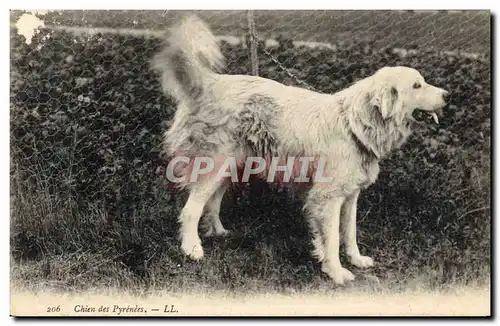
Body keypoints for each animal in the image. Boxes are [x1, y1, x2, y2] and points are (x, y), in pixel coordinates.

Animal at [152, 15, 450, 286]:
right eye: (416, 85)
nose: (447, 95)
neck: (355, 124)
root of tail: (209, 83)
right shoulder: (327, 197)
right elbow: (332, 238)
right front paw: (336, 272)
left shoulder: (350, 195)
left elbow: (349, 232)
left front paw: (355, 259)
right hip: (214, 164)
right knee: (191, 209)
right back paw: (192, 249)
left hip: (232, 165)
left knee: (211, 202)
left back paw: (218, 232)